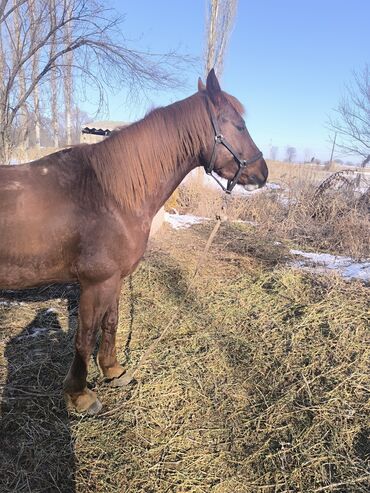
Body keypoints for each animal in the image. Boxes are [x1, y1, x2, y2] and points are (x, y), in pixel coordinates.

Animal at [0, 71, 268, 414]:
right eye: (239, 125)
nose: (262, 173)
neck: (108, 194)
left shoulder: (113, 279)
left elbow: (111, 322)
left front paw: (113, 370)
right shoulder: (96, 282)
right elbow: (85, 337)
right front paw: (79, 394)